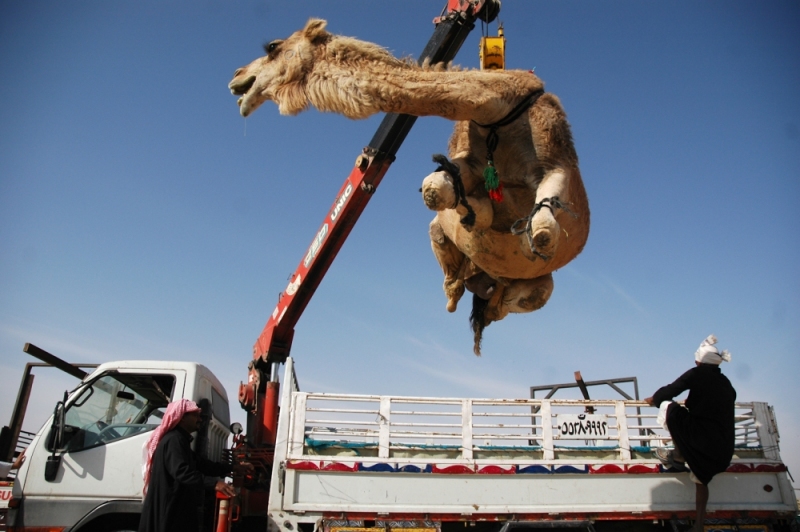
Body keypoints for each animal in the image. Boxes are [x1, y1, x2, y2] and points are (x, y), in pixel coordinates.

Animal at [228, 18, 592, 356]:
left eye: (272, 47)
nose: (237, 78)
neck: (498, 114)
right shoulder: (470, 162)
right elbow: (436, 189)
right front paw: (472, 215)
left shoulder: (557, 163)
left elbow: (543, 228)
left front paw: (510, 229)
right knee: (450, 250)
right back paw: (460, 288)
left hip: (540, 285)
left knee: (520, 294)